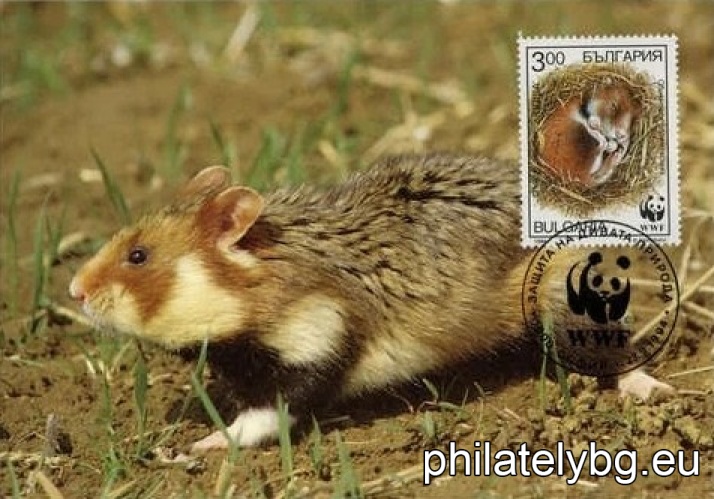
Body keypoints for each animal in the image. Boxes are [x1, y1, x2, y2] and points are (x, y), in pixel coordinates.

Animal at [69, 153, 670, 452]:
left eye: (139, 256)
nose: (73, 290)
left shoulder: (314, 338)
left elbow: (266, 417)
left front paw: (201, 446)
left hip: (558, 305)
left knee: (613, 351)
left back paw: (651, 390)